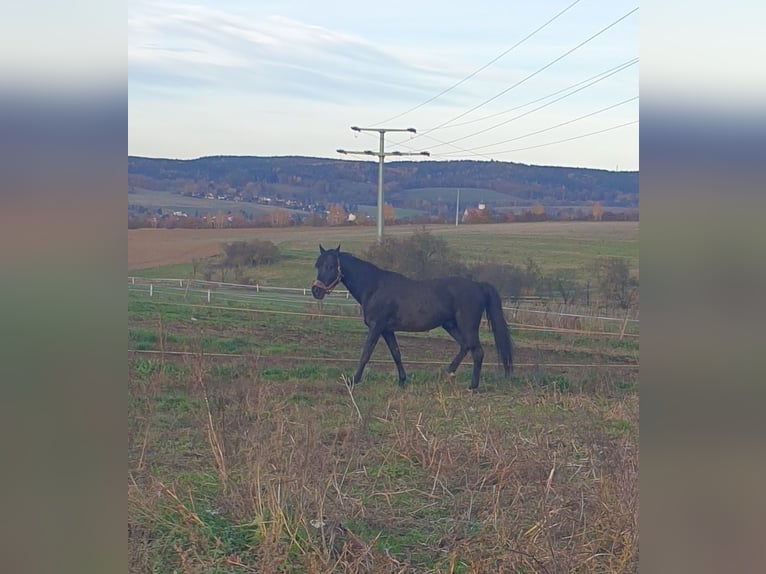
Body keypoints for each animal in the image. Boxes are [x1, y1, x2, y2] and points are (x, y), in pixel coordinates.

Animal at [311, 245, 513, 390]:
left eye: (331, 266)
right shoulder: (387, 330)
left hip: (467, 326)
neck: (374, 287)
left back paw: (472, 386)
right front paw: (402, 381)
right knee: (465, 347)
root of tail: (478, 286)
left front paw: (353, 380)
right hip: (450, 325)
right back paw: (447, 373)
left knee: (477, 351)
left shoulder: (376, 327)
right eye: (318, 265)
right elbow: (396, 354)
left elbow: (366, 353)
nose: (316, 291)